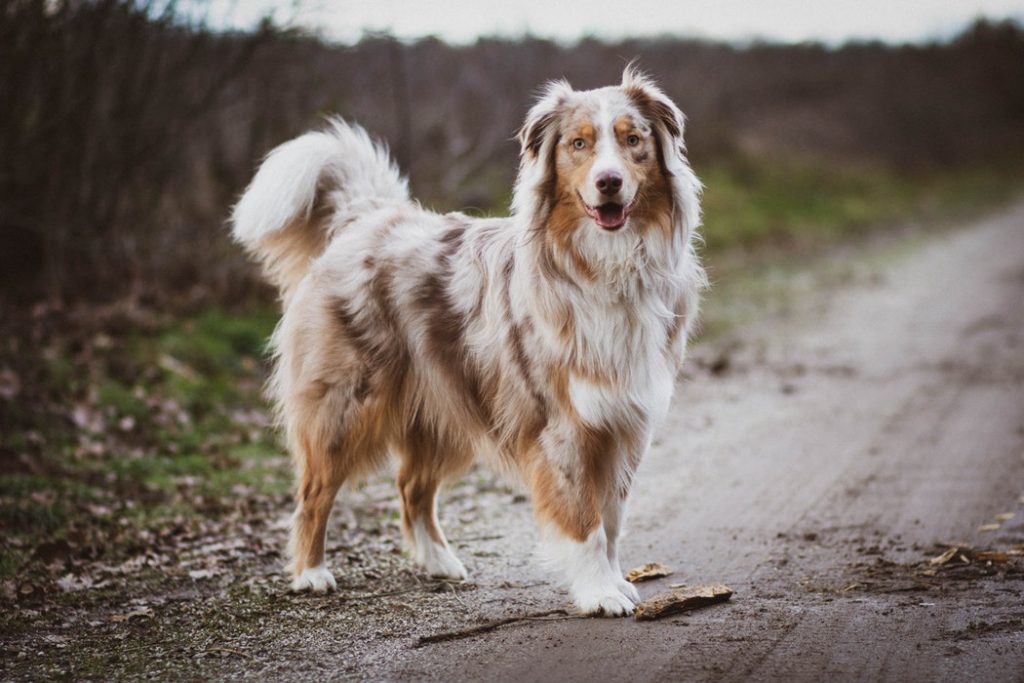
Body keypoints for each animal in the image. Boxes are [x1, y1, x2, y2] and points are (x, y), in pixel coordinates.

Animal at [234, 66, 704, 618]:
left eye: (633, 140)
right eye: (579, 144)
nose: (608, 182)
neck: (606, 265)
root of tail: (366, 216)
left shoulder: (624, 423)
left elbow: (611, 520)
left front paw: (615, 581)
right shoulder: (565, 426)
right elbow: (585, 521)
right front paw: (599, 593)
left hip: (445, 405)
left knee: (411, 486)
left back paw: (439, 561)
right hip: (345, 406)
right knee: (314, 492)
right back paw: (311, 573)